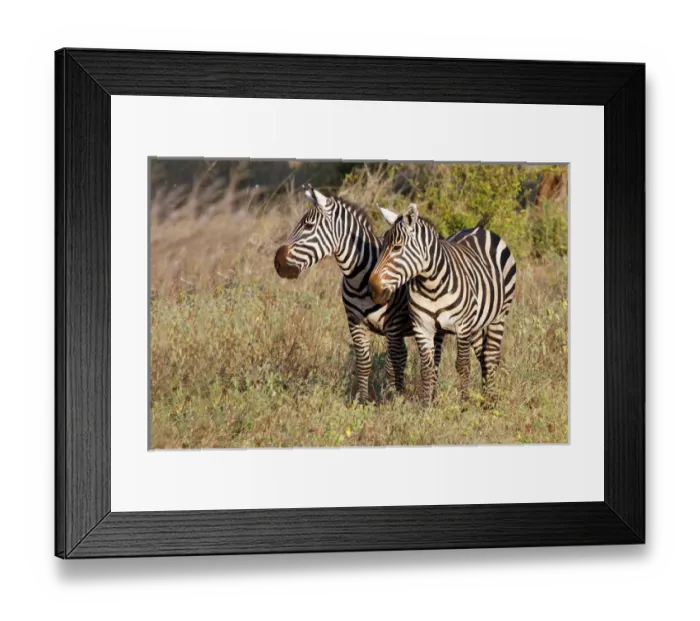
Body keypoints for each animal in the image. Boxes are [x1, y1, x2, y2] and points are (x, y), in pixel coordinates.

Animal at [274, 185, 462, 404]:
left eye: (309, 226)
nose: (277, 262)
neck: (359, 278)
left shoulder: (394, 325)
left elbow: (393, 364)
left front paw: (391, 400)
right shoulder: (354, 322)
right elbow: (364, 363)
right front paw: (364, 400)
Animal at [369, 203, 517, 406]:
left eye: (397, 247)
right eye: (382, 245)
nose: (373, 289)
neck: (431, 285)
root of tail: (479, 229)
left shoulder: (462, 326)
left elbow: (462, 365)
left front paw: (464, 404)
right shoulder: (422, 327)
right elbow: (427, 368)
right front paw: (426, 406)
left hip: (499, 315)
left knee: (491, 355)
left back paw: (490, 401)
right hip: (474, 324)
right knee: (479, 355)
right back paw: (484, 395)